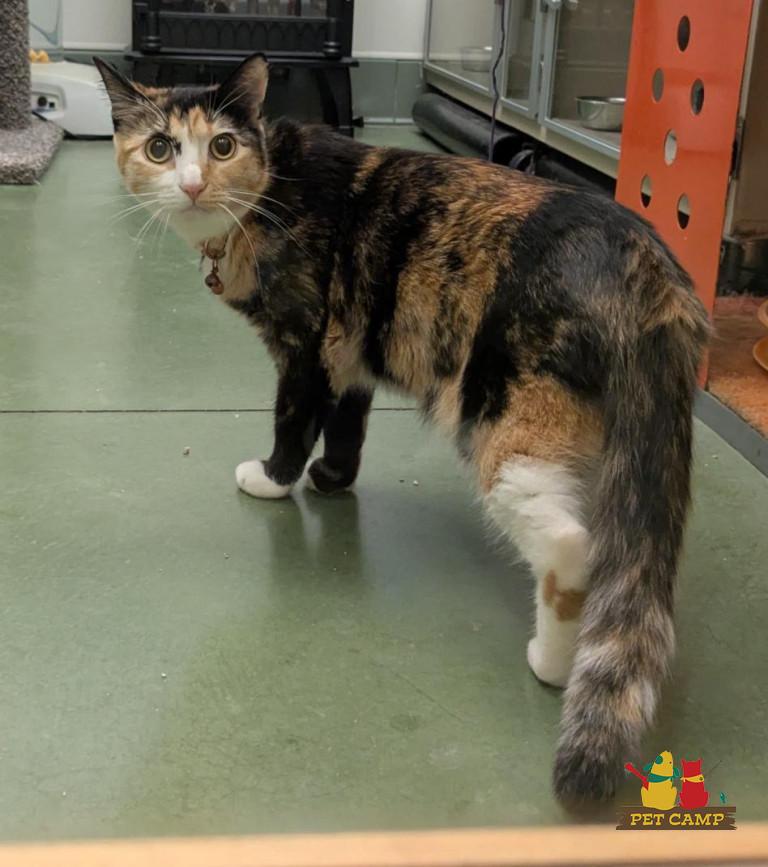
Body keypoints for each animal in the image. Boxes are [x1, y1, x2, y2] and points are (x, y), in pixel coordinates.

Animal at [95, 53, 710, 802]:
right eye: (160, 148)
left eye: (222, 145)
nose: (191, 184)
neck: (271, 188)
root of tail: (648, 268)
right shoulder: (350, 349)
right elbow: (347, 423)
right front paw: (332, 479)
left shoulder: (305, 344)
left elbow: (295, 418)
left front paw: (273, 479)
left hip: (505, 418)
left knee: (569, 542)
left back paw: (550, 659)